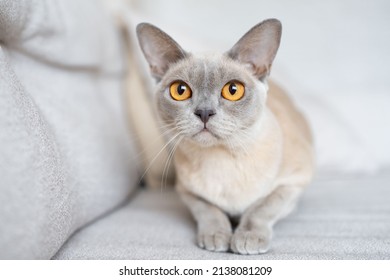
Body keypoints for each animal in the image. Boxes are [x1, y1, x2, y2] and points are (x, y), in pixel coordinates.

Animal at [136, 17, 316, 254]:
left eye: (233, 90)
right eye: (180, 90)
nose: (204, 112)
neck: (222, 160)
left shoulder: (294, 182)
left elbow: (260, 208)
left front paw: (247, 238)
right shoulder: (187, 192)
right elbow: (209, 210)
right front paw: (217, 237)